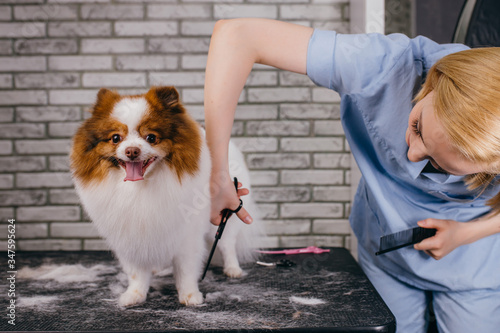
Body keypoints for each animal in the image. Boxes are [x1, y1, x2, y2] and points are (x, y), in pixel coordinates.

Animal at [71, 85, 258, 306]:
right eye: (116, 138)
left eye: (151, 137)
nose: (132, 151)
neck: (140, 188)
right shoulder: (129, 236)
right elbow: (136, 272)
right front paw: (134, 295)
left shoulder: (187, 234)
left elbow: (186, 268)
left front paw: (190, 295)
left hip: (224, 214)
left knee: (227, 244)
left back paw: (233, 269)